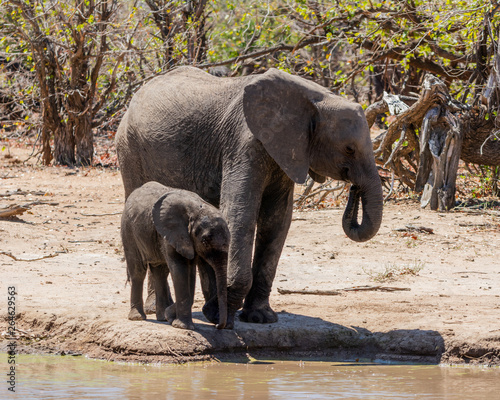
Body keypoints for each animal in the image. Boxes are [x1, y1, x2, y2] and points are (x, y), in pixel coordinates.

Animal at [121, 181, 230, 328]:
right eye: (204, 241)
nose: (218, 326)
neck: (197, 210)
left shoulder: (188, 240)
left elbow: (190, 271)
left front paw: (172, 318)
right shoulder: (172, 233)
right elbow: (180, 269)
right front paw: (183, 326)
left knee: (160, 272)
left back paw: (162, 318)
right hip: (128, 230)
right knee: (138, 270)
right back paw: (137, 317)